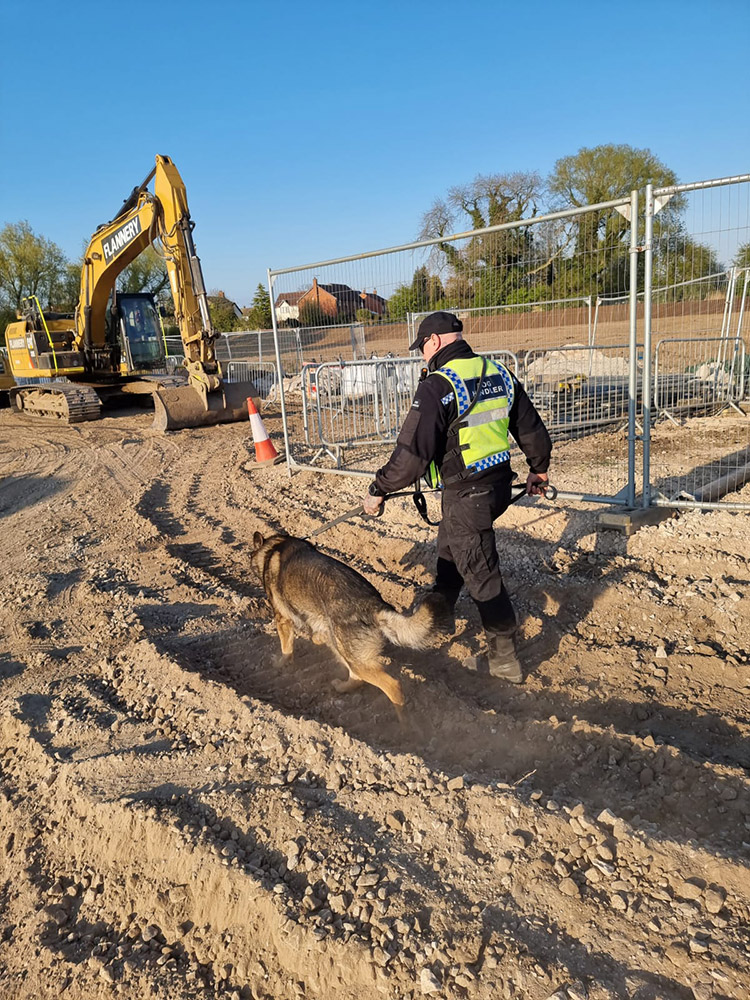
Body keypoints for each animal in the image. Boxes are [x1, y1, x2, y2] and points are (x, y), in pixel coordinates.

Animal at [253, 532, 444, 712]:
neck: (274, 546)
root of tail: (374, 605)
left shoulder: (282, 619)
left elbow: (286, 649)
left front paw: (279, 664)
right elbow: (315, 634)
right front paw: (317, 638)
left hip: (353, 657)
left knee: (393, 686)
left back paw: (403, 720)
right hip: (345, 650)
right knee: (357, 678)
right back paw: (342, 687)